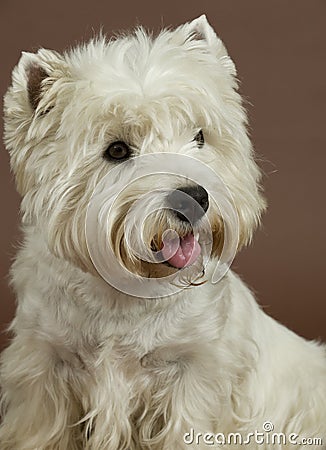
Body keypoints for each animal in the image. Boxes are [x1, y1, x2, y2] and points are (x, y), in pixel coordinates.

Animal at [0, 14, 326, 450]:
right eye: (117, 150)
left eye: (199, 136)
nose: (196, 198)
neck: (127, 293)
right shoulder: (43, 367)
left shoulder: (195, 373)